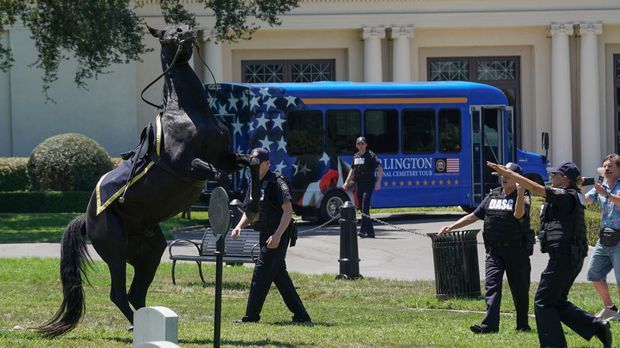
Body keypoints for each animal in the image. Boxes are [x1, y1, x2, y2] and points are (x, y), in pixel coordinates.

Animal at [34, 24, 262, 338]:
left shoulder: (225, 156)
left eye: (186, 26)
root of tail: (87, 217)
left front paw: (253, 202)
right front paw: (236, 206)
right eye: (171, 31)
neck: (188, 111)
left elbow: (251, 162)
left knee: (135, 294)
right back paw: (138, 328)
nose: (189, 34)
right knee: (119, 294)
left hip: (149, 253)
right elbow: (219, 177)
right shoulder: (187, 165)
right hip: (115, 251)